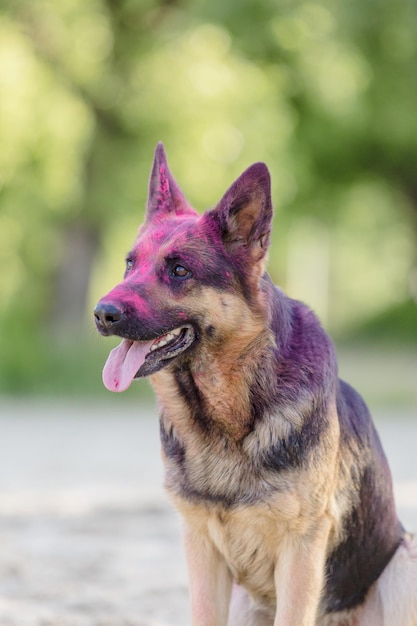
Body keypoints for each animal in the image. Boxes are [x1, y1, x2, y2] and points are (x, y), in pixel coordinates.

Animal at [94, 144, 416, 620]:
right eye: (130, 264)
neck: (229, 415)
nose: (102, 313)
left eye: (179, 270)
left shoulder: (302, 550)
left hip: (404, 563)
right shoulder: (201, 547)